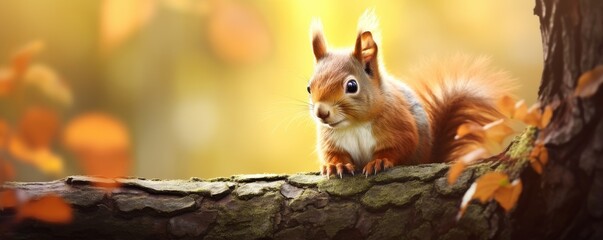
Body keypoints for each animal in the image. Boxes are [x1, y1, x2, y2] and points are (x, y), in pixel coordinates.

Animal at [310, 11, 516, 177]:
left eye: (352, 86)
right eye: (309, 87)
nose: (321, 112)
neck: (354, 125)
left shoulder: (399, 125)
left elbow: (400, 147)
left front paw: (379, 161)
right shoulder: (330, 140)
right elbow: (333, 153)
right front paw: (336, 165)